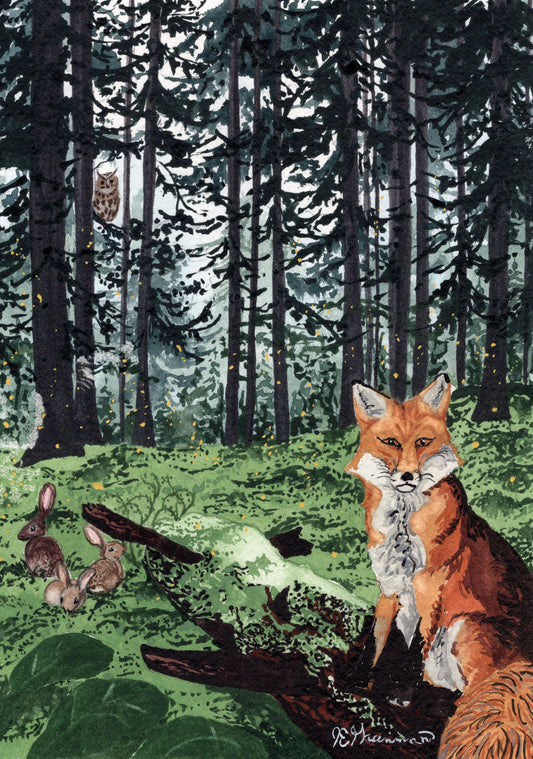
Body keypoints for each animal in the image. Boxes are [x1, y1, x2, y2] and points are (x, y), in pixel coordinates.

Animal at [345, 374, 533, 759]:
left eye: (422, 442)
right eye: (391, 442)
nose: (407, 476)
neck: (403, 525)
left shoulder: (431, 589)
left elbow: (416, 647)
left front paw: (402, 693)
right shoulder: (389, 587)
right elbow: (376, 640)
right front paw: (358, 678)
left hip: (465, 626)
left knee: (469, 692)